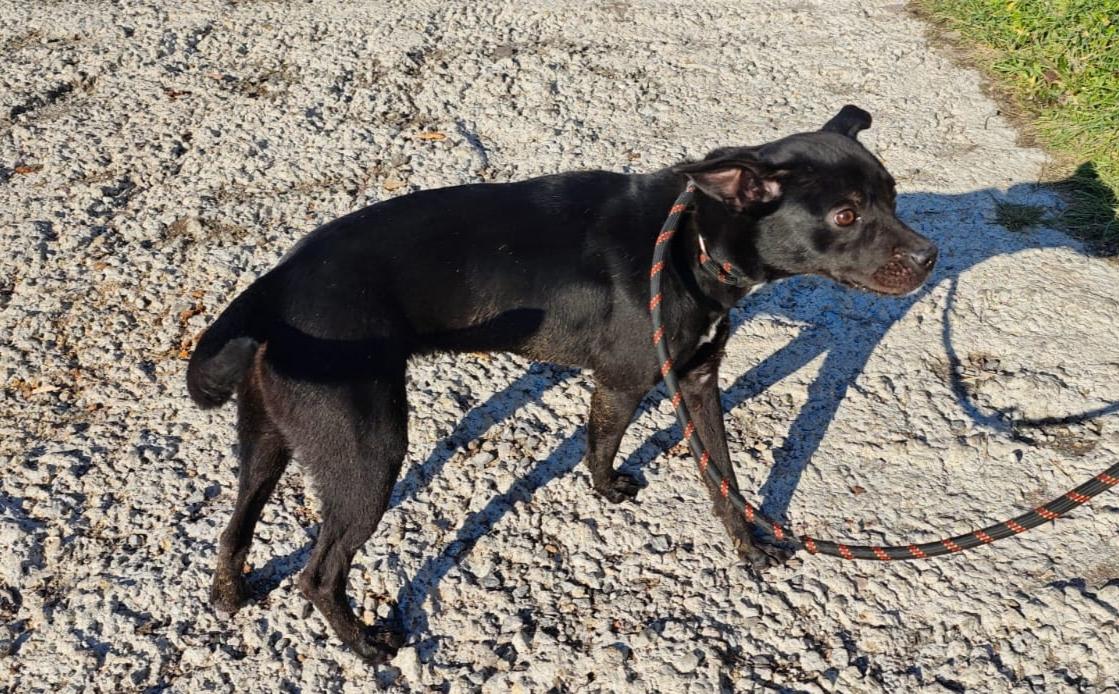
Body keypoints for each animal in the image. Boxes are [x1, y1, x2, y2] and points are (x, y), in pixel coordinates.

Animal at [186, 105, 937, 662]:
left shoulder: (696, 380)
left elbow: (719, 476)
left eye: (893, 197)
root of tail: (276, 285)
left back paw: (230, 592)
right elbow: (603, 442)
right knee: (318, 574)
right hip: (369, 451)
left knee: (236, 526)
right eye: (845, 216)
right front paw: (609, 489)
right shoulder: (626, 379)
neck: (691, 240)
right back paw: (365, 644)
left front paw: (748, 547)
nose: (930, 257)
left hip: (270, 438)